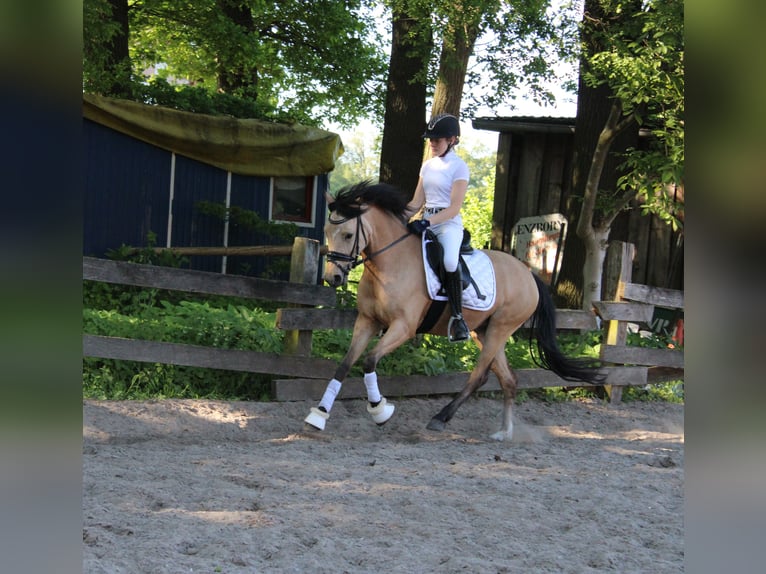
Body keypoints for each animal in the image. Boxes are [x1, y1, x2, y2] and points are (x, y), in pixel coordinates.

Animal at [306, 181, 608, 440]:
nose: (333, 278)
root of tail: (528, 274)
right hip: (483, 331)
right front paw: (318, 415)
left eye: (348, 234)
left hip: (500, 328)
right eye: (327, 232)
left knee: (480, 375)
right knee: (508, 379)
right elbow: (345, 365)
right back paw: (504, 432)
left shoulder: (403, 327)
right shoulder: (367, 321)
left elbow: (369, 361)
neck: (388, 264)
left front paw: (380, 410)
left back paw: (441, 418)